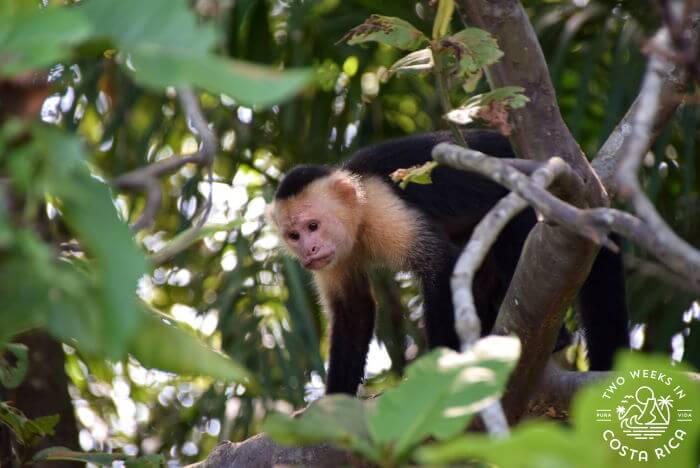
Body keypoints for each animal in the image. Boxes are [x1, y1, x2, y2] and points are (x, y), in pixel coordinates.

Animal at [266, 131, 628, 394]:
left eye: (313, 226)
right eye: (294, 235)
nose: (309, 249)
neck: (359, 218)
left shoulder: (384, 209)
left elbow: (441, 265)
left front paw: (440, 367)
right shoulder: (335, 258)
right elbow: (353, 310)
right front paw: (333, 403)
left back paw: (558, 337)